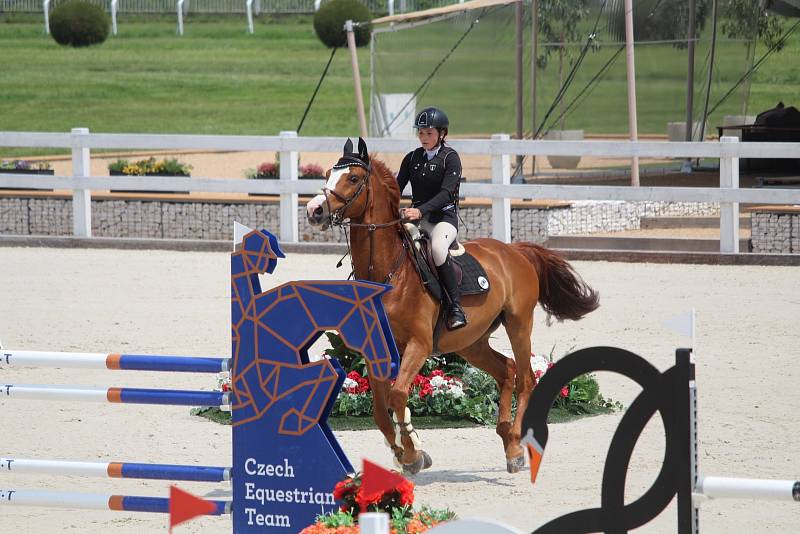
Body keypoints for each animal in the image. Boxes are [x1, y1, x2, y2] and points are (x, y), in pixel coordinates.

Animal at [308, 139, 600, 478]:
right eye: (328, 174)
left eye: (353, 178)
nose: (314, 210)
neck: (389, 273)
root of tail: (514, 251)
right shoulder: (375, 348)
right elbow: (380, 411)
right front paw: (403, 453)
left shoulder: (419, 345)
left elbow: (397, 395)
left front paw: (413, 453)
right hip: (471, 343)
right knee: (507, 371)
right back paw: (507, 439)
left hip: (518, 324)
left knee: (526, 378)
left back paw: (515, 446)